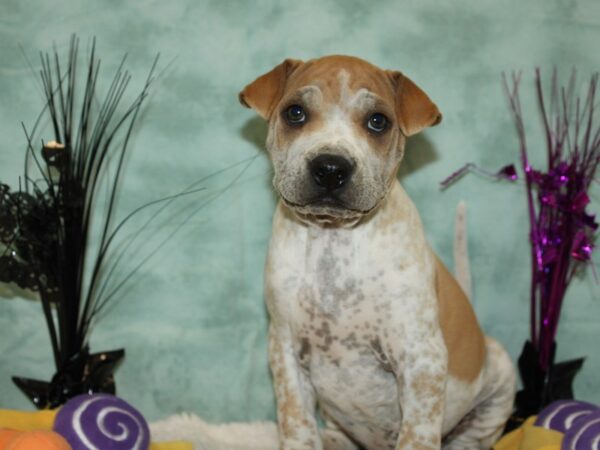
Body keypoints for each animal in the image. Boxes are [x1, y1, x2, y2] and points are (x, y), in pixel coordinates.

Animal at [239, 56, 516, 450]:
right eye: (295, 113)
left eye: (378, 121)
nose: (330, 168)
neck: (334, 240)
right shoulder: (286, 351)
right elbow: (297, 426)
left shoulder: (421, 359)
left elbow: (417, 435)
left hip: (498, 373)